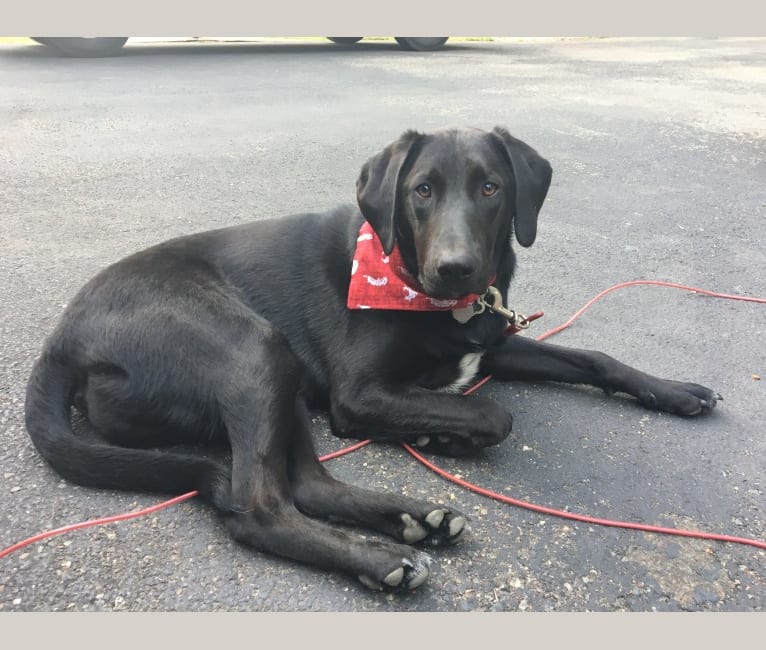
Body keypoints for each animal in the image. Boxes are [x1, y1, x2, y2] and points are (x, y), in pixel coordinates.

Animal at [24, 125, 720, 588]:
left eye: (491, 188)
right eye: (422, 190)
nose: (455, 267)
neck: (432, 298)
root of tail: (60, 341)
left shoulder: (492, 343)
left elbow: (596, 358)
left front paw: (676, 390)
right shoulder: (358, 396)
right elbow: (494, 415)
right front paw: (446, 436)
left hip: (279, 371)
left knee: (308, 483)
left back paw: (412, 518)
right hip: (254, 349)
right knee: (260, 505)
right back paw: (379, 558)